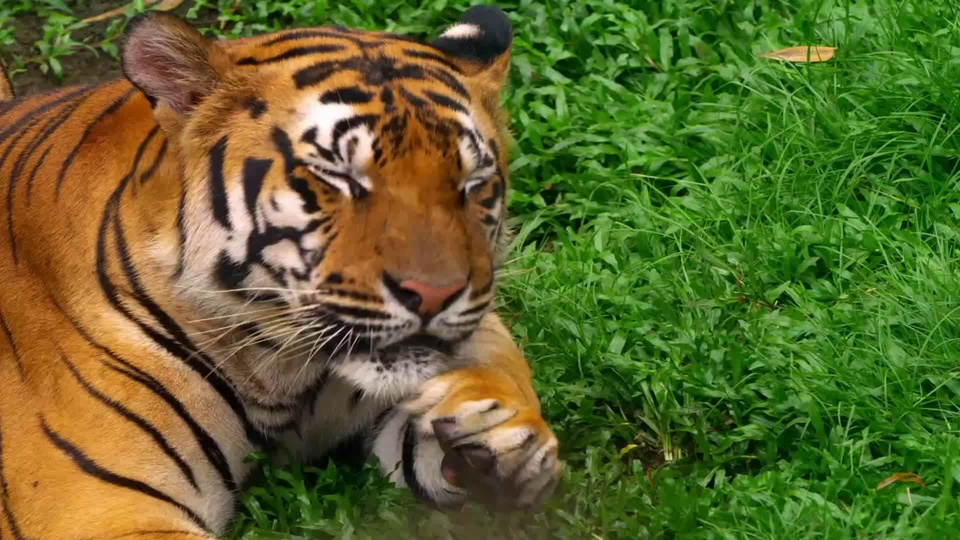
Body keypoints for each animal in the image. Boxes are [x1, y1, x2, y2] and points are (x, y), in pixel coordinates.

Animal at [0, 5, 562, 538]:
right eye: (337, 176)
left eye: (472, 184)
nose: (434, 294)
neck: (282, 375)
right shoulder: (108, 511)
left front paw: (504, 436)